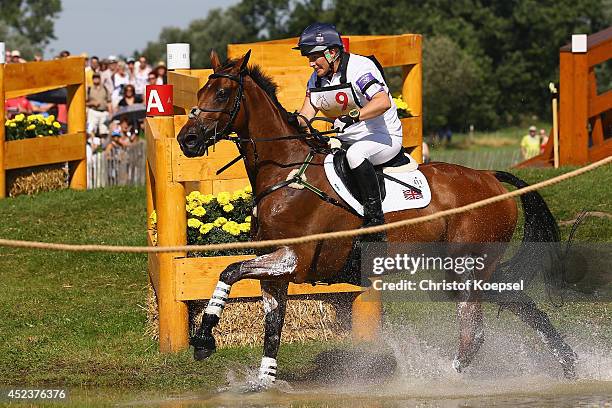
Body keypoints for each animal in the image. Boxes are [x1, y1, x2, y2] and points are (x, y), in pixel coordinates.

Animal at [176, 51, 572, 386]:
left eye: (223, 93)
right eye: (202, 91)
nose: (187, 140)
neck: (286, 172)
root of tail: (490, 177)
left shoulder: (292, 259)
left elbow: (229, 271)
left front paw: (204, 339)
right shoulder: (276, 271)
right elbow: (272, 329)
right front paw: (264, 382)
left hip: (467, 268)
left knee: (474, 333)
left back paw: (444, 377)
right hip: (466, 268)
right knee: (518, 302)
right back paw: (569, 363)